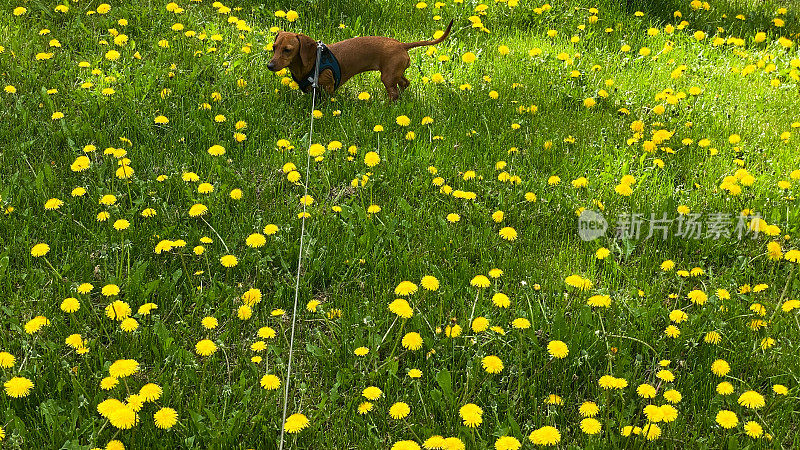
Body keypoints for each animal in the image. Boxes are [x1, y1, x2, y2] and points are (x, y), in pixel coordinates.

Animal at [268, 20, 454, 100]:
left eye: (287, 50)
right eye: (274, 47)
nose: (269, 65)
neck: (313, 61)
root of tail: (401, 44)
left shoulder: (328, 85)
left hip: (387, 77)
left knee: (393, 92)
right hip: (394, 73)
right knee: (404, 83)